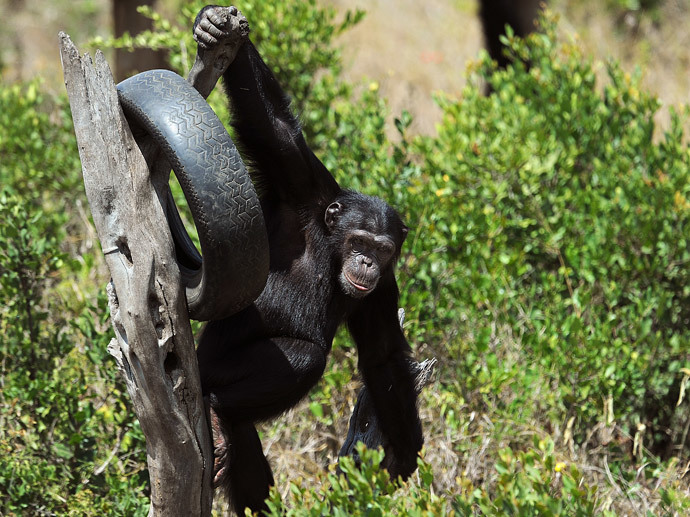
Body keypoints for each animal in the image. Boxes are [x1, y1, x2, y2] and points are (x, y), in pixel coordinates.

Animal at [189, 5, 424, 516]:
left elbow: (383, 356)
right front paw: (217, 27)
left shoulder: (385, 290)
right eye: (359, 240)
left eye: (382, 250)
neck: (330, 245)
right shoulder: (298, 184)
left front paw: (405, 448)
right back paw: (215, 410)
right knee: (304, 358)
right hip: (206, 367)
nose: (366, 263)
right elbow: (274, 126)